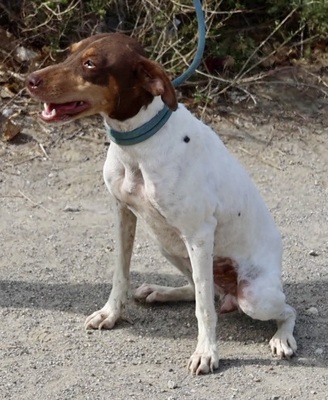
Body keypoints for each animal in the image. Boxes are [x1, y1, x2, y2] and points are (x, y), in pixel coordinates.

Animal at [26, 32, 296, 374]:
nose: (29, 80)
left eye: (90, 64)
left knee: (282, 309)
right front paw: (111, 313)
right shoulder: (123, 214)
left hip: (254, 296)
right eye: (69, 53)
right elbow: (121, 274)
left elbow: (204, 311)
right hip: (170, 248)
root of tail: (233, 296)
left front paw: (207, 352)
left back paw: (282, 338)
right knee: (203, 290)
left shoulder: (199, 234)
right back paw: (161, 291)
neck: (138, 144)